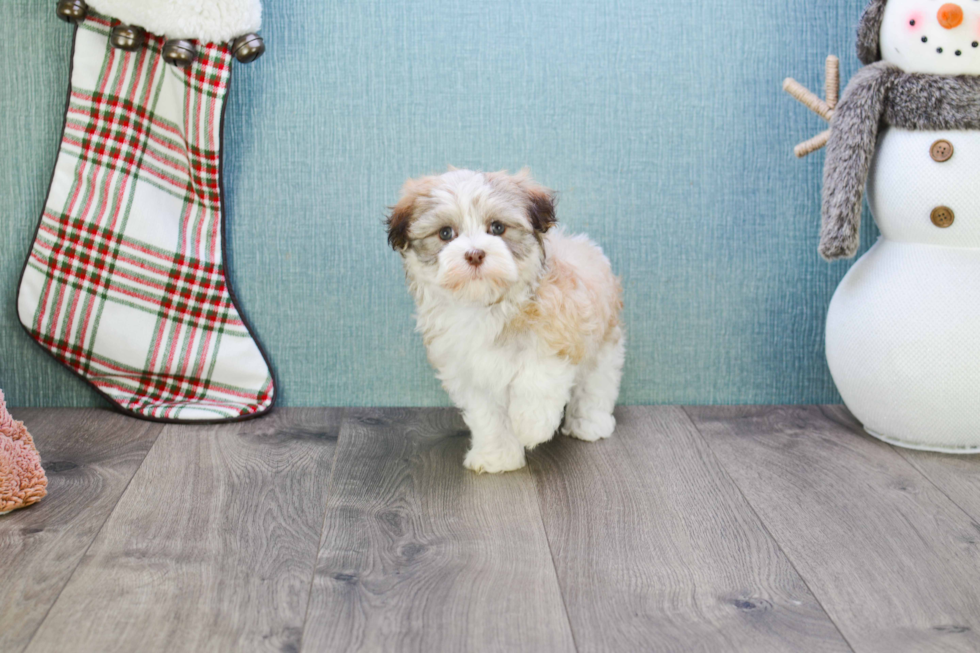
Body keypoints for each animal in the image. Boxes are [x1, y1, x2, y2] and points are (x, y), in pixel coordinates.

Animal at [386, 168, 624, 474]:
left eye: (497, 228)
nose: (474, 253)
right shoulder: (468, 370)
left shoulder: (558, 334)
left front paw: (531, 427)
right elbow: (487, 415)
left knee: (596, 382)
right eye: (445, 233)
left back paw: (590, 423)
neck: (486, 304)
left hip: (605, 340)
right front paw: (496, 456)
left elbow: (537, 378)